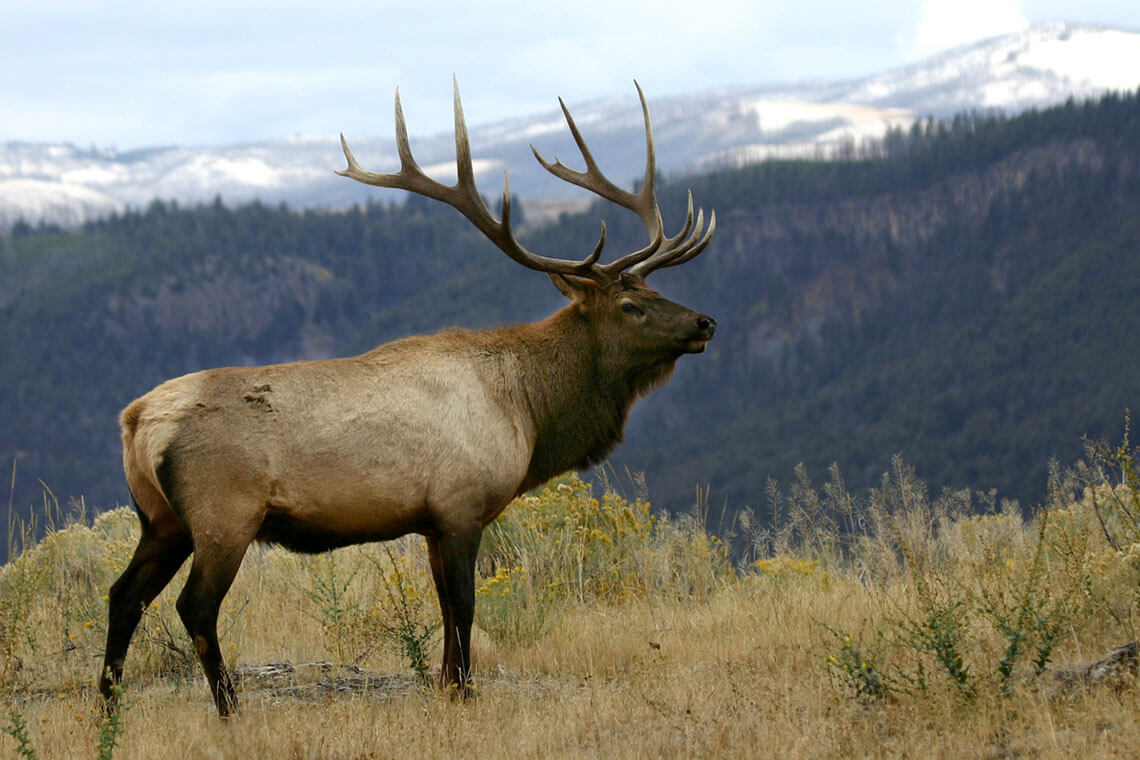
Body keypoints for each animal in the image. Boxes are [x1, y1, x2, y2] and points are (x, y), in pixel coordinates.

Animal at [102, 80, 715, 715]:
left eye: (655, 291)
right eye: (630, 306)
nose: (705, 322)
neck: (529, 411)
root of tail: (137, 420)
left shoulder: (430, 521)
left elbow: (444, 607)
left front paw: (446, 685)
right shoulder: (461, 504)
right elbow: (464, 606)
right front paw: (464, 691)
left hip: (160, 519)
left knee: (123, 595)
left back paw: (107, 709)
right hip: (224, 512)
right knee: (194, 605)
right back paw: (229, 711)